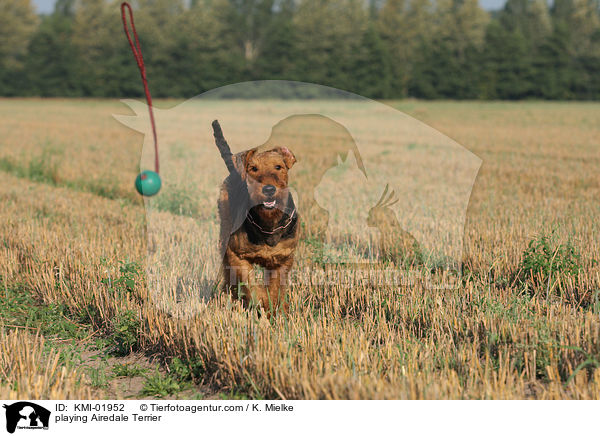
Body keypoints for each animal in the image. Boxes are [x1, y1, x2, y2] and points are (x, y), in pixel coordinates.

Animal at [218, 145, 298, 316]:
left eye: (278, 167)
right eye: (253, 168)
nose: (269, 189)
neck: (269, 224)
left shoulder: (282, 260)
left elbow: (275, 290)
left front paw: (276, 310)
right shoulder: (238, 256)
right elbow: (252, 287)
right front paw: (263, 305)